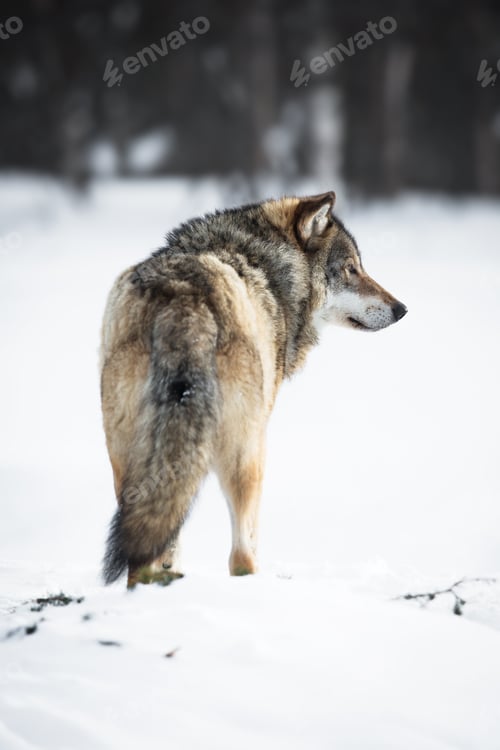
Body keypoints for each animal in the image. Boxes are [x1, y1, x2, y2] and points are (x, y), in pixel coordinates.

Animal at [100, 191, 407, 586]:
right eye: (351, 268)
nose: (402, 309)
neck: (270, 267)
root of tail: (181, 294)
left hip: (128, 458)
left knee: (144, 550)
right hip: (247, 453)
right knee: (241, 556)